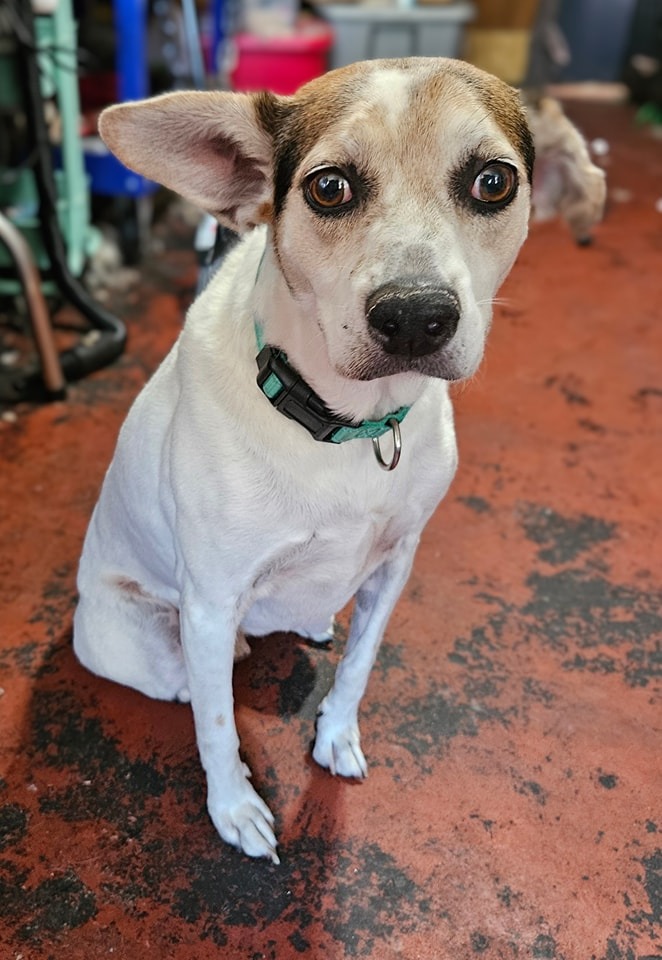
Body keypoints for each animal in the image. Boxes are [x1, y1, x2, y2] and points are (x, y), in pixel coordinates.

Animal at [74, 56, 608, 864]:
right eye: (329, 188)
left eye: (494, 181)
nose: (416, 316)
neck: (347, 428)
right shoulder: (211, 599)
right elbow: (218, 727)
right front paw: (235, 809)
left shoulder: (397, 560)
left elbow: (359, 665)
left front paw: (336, 736)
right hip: (147, 639)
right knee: (194, 684)